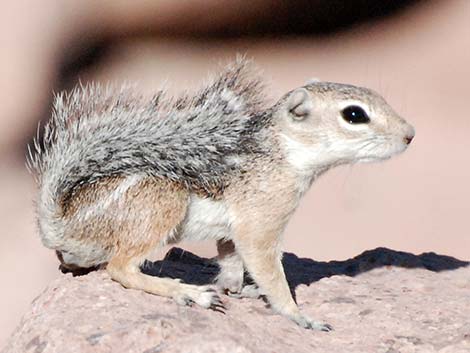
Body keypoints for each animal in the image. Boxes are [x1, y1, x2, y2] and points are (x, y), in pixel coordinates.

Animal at [27, 57, 414, 330]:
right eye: (354, 115)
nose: (409, 134)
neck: (283, 152)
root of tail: (60, 224)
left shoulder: (231, 234)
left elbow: (231, 264)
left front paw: (240, 289)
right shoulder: (260, 226)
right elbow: (269, 272)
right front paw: (299, 316)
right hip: (163, 199)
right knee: (120, 269)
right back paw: (188, 293)